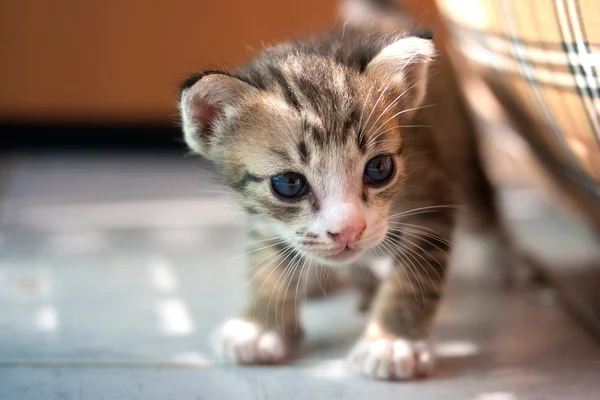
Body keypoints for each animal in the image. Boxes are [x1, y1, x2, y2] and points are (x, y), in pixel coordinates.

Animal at [177, 24, 454, 378]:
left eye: (379, 168)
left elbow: (415, 276)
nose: (348, 231)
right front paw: (262, 324)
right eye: (289, 183)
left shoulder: (432, 196)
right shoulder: (266, 220)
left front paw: (391, 341)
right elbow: (267, 260)